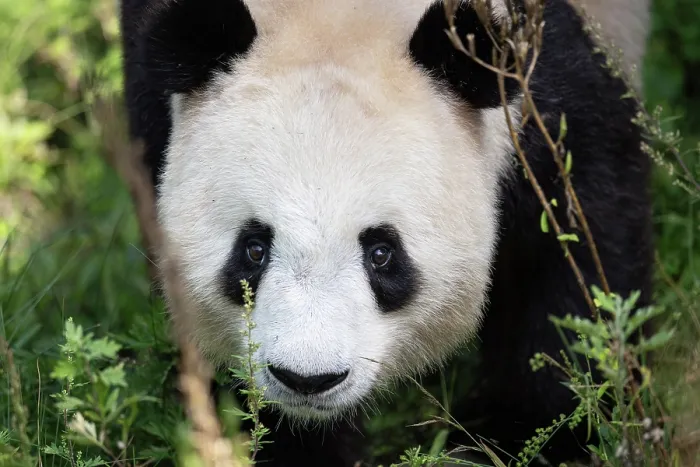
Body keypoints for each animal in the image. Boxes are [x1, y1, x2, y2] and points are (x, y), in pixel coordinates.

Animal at [119, 0, 654, 465]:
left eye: (381, 253)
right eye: (253, 249)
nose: (307, 379)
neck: (339, 14)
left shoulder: (549, 84)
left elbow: (575, 253)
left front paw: (523, 437)